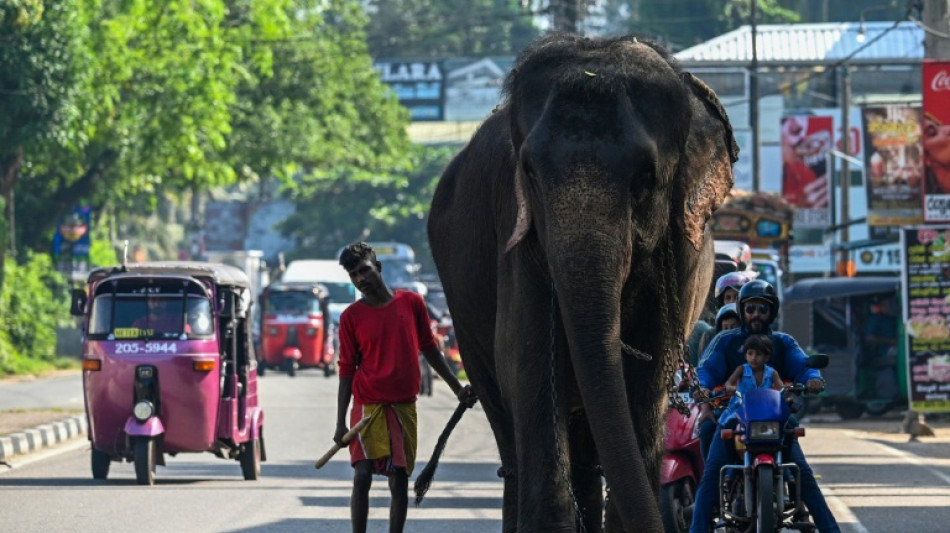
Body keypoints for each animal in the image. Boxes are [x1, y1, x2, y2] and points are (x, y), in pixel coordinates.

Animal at [427, 33, 737, 532]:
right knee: (508, 430)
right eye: (529, 171)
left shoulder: (679, 258)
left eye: (646, 175)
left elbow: (649, 377)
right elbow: (527, 363)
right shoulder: (517, 240)